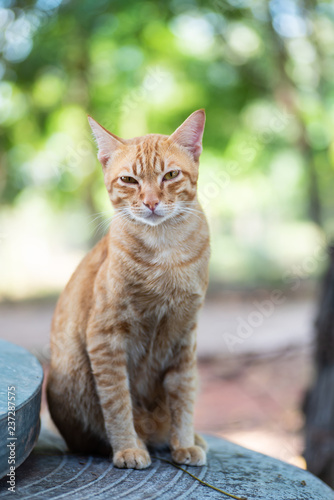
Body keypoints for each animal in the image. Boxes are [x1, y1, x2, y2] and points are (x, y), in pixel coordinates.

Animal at [46, 108, 210, 468]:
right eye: (129, 180)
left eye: (170, 175)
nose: (150, 202)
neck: (165, 251)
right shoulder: (105, 338)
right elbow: (117, 402)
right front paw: (128, 448)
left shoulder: (185, 336)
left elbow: (185, 396)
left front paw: (184, 442)